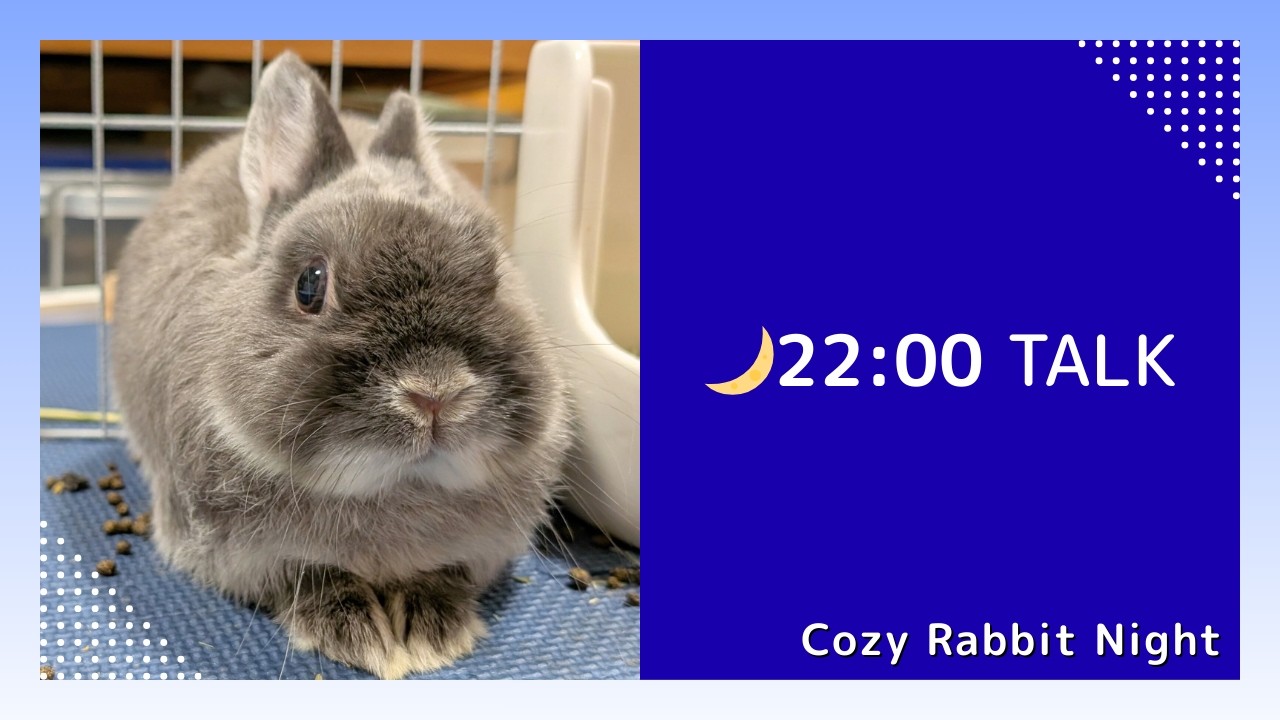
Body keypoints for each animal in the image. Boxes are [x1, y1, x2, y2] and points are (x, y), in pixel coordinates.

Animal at [110, 51, 573, 679]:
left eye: (497, 274)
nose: (435, 394)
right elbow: (312, 580)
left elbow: (443, 577)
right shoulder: (252, 558)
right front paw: (356, 634)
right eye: (310, 285)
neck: (394, 492)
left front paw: (434, 632)